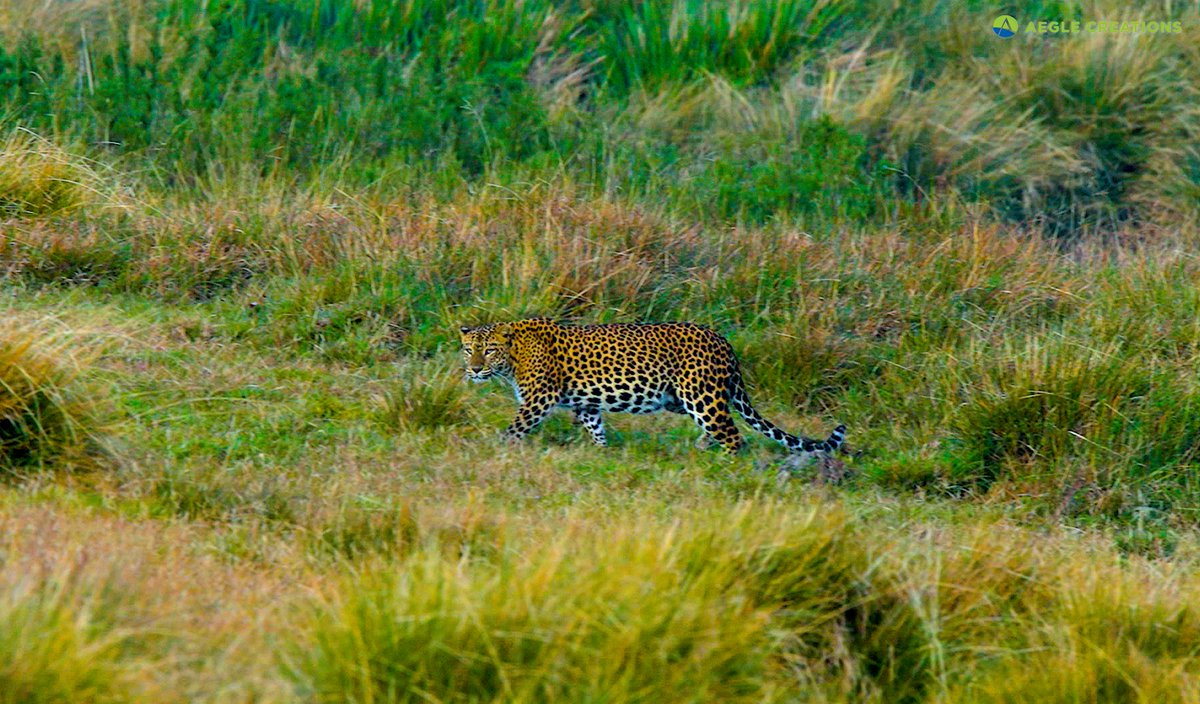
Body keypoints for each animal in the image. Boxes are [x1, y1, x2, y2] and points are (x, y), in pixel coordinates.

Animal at [458, 319, 846, 455]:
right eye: (468, 349)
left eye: (488, 350)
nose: (474, 369)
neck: (513, 357)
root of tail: (723, 340)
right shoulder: (585, 404)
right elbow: (595, 426)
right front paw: (603, 453)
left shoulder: (540, 399)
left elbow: (515, 427)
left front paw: (496, 447)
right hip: (681, 398)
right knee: (721, 428)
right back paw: (701, 449)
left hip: (701, 395)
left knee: (735, 436)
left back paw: (724, 465)